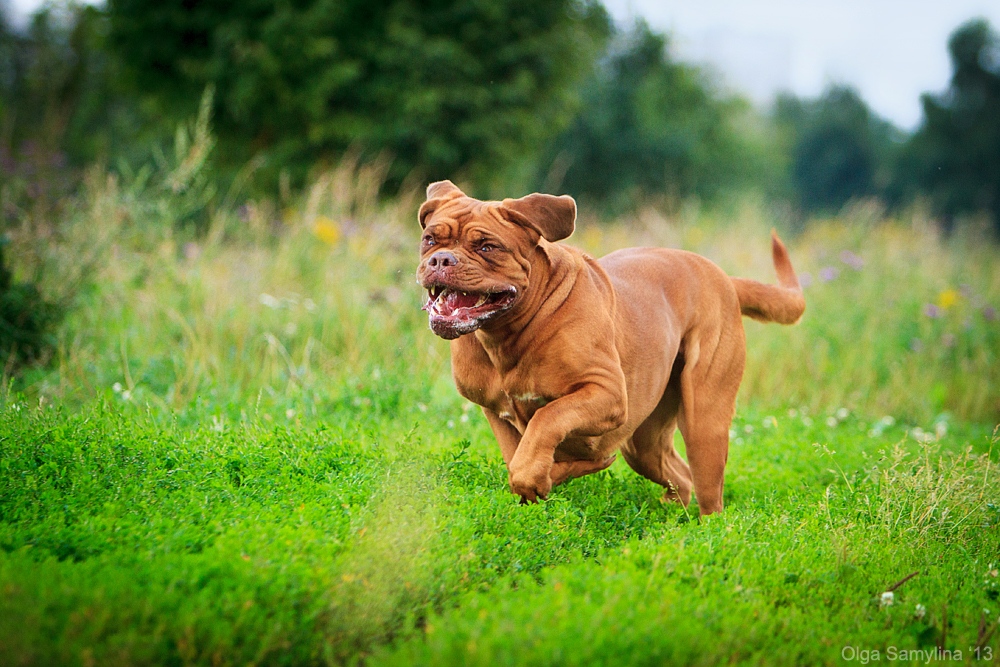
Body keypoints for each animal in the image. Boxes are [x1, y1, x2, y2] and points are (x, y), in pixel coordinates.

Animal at [416, 180, 804, 516]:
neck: (508, 332)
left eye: (487, 247)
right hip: (645, 443)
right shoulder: (496, 412)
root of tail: (723, 277)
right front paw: (539, 483)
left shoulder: (605, 392)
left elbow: (547, 418)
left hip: (704, 420)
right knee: (678, 474)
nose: (441, 260)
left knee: (709, 493)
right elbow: (519, 454)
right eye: (429, 239)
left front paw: (541, 476)